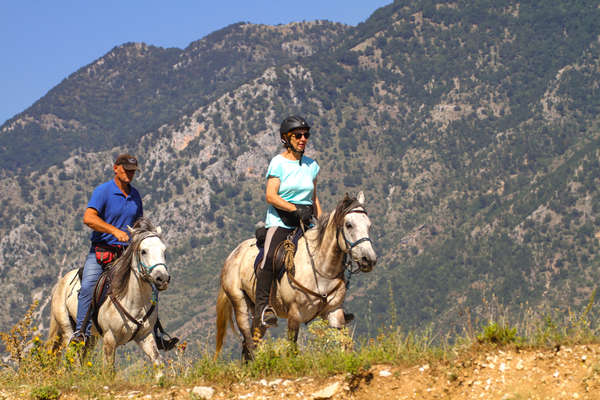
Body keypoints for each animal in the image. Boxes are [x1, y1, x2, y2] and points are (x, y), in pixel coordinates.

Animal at [47, 217, 170, 370]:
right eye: (143, 251)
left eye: (164, 250)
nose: (162, 278)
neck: (133, 301)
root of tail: (60, 283)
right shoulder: (110, 340)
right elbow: (108, 370)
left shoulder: (145, 336)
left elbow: (157, 362)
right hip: (67, 329)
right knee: (74, 357)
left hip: (91, 337)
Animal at [216, 191, 376, 360]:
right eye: (349, 225)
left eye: (369, 225)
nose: (369, 259)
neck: (321, 268)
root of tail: (233, 254)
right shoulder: (294, 315)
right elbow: (292, 349)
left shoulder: (334, 312)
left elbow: (346, 344)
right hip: (239, 303)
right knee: (249, 342)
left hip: (257, 314)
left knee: (252, 341)